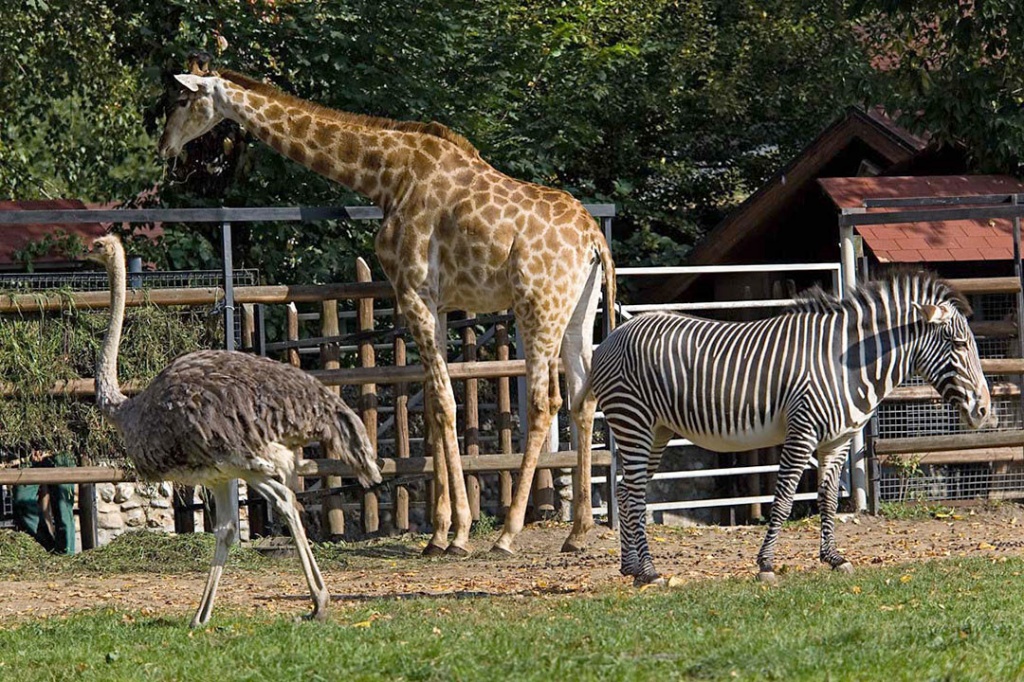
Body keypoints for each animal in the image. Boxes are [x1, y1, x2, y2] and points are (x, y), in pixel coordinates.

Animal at [158, 69, 616, 556]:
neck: (387, 177)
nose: (165, 148)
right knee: (583, 397)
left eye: (182, 100)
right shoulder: (435, 301)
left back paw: (509, 533)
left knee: (545, 402)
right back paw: (578, 531)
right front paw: (440, 532)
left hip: (538, 306)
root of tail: (594, 239)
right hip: (579, 311)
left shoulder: (412, 290)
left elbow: (445, 403)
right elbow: (433, 405)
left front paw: (457, 534)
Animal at [579, 271, 993, 585]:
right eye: (959, 344)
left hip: (657, 430)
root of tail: (612, 336)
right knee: (634, 492)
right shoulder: (802, 432)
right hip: (634, 420)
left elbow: (828, 499)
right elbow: (782, 499)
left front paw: (834, 557)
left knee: (625, 489)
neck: (849, 363)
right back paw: (649, 572)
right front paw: (766, 565)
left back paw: (631, 568)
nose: (985, 410)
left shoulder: (837, 442)